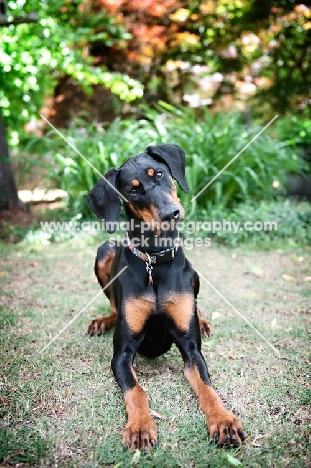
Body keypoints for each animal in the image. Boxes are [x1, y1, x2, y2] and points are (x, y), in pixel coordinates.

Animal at [86, 143, 247, 450]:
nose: (171, 212)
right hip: (104, 251)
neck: (155, 260)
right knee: (112, 304)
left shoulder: (191, 349)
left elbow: (207, 387)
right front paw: (139, 426)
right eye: (133, 190)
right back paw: (102, 321)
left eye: (159, 174)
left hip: (193, 272)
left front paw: (223, 421)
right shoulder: (121, 354)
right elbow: (136, 391)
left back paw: (203, 321)